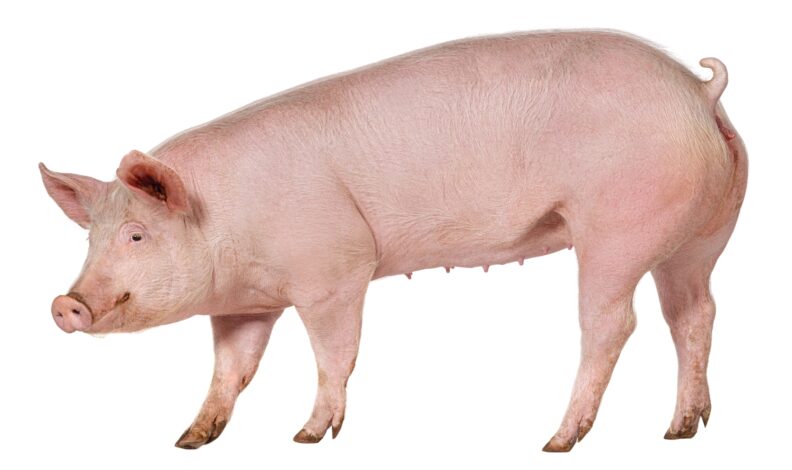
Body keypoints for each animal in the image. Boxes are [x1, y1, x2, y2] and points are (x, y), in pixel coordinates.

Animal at [40, 30, 747, 452]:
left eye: (136, 234)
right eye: (90, 240)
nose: (65, 303)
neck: (223, 222)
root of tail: (697, 91)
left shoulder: (334, 272)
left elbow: (334, 355)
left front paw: (307, 438)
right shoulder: (247, 304)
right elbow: (231, 369)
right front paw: (190, 440)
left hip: (616, 229)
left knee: (613, 325)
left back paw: (556, 442)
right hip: (702, 237)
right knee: (695, 314)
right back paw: (682, 430)